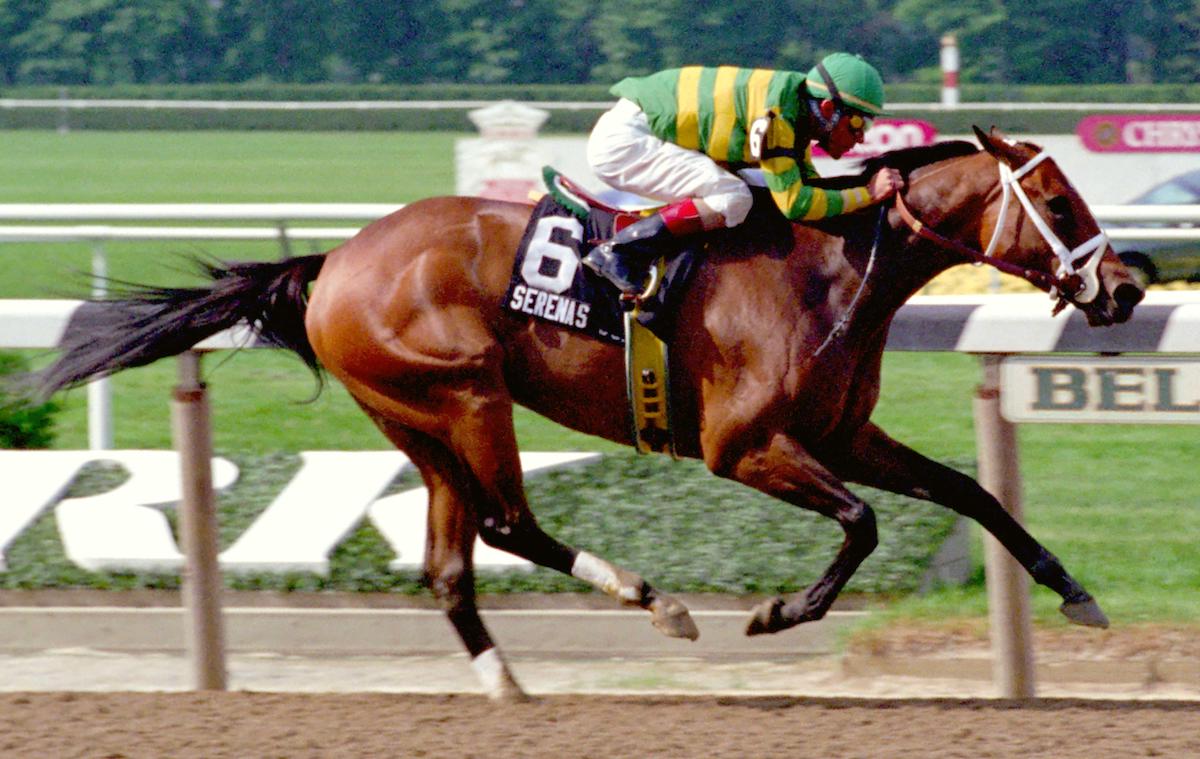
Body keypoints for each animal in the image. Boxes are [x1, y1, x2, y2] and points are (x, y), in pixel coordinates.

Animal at [35, 126, 1142, 701]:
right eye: (1061, 202)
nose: (1127, 289)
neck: (832, 269)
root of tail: (333, 261)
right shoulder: (742, 445)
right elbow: (864, 523)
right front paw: (776, 612)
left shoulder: (841, 432)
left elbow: (968, 492)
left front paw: (1076, 594)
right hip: (467, 392)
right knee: (505, 522)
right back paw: (657, 601)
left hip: (415, 421)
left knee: (449, 563)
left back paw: (508, 683)